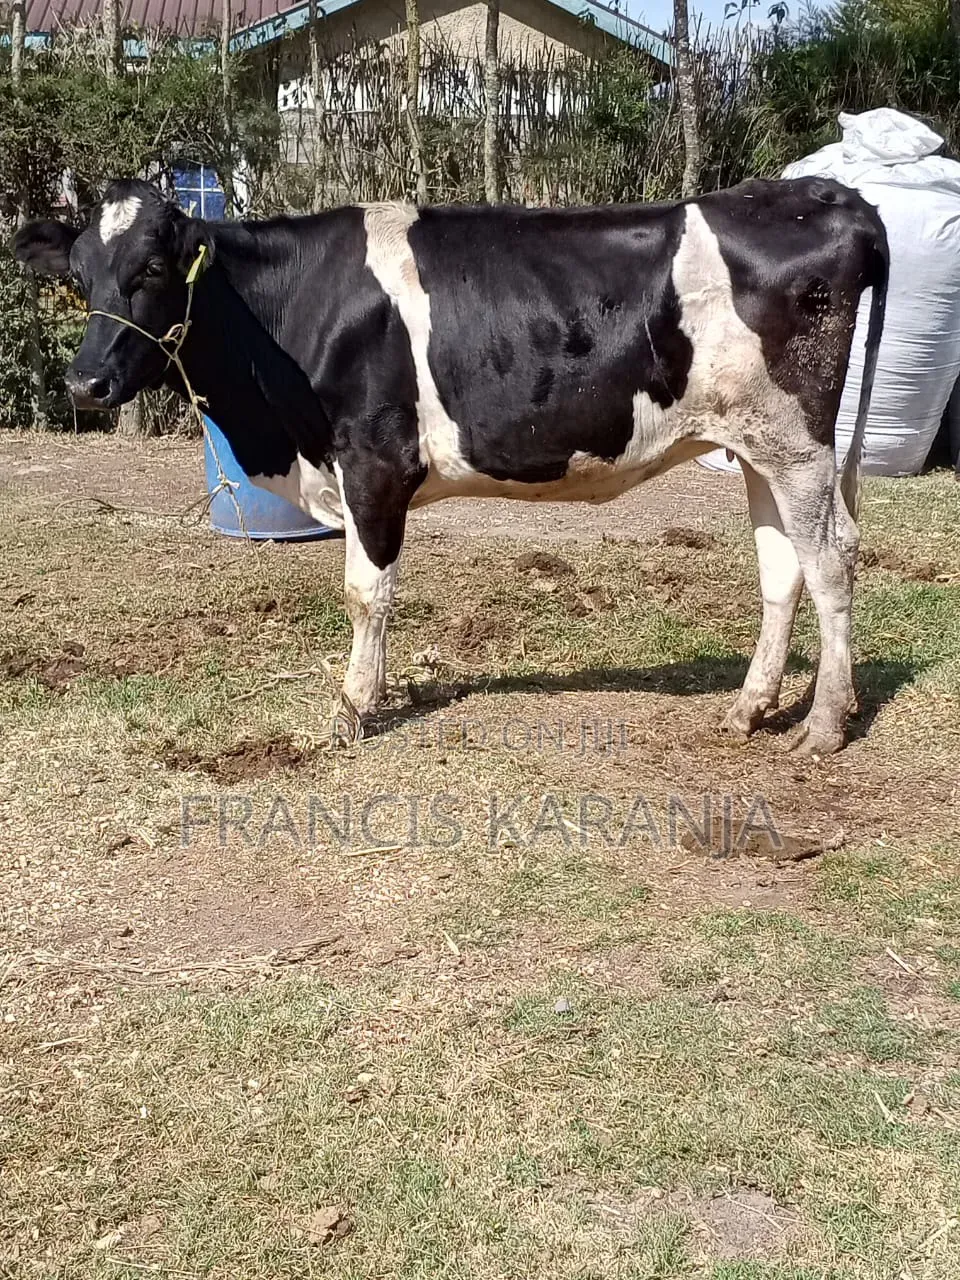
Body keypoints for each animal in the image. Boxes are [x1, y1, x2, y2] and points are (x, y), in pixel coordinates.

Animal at [14, 177, 887, 755]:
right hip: (756, 441)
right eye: (80, 276)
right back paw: (750, 708)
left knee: (832, 558)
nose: (85, 384)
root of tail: (823, 192)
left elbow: (366, 595)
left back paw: (823, 724)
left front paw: (354, 709)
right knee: (783, 567)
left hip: (798, 440)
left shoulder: (374, 461)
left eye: (154, 270)